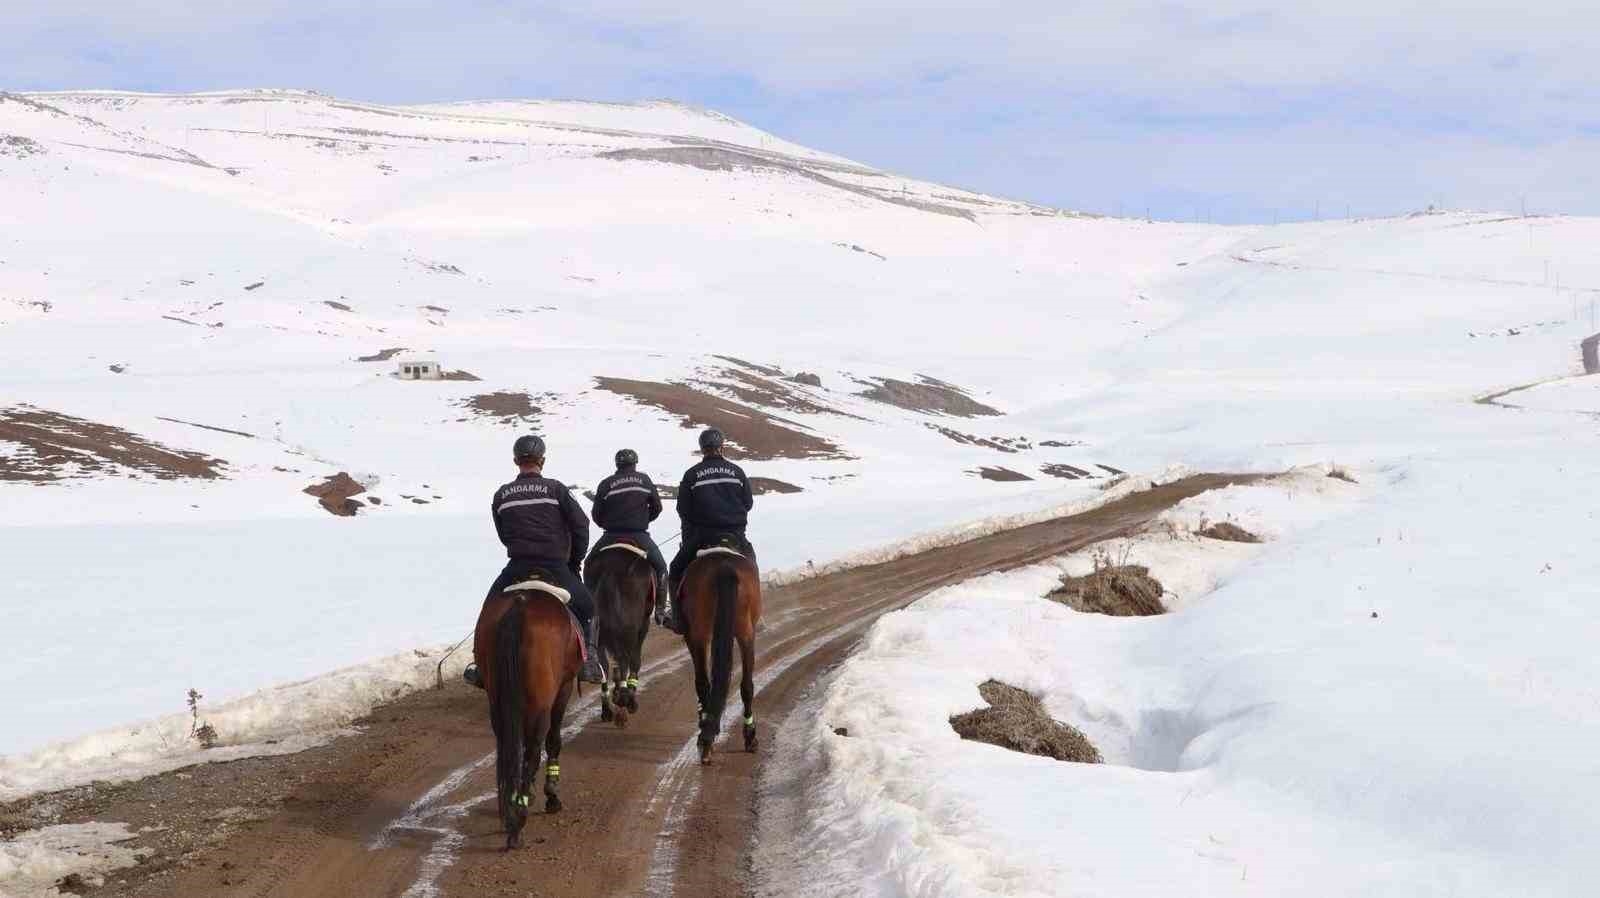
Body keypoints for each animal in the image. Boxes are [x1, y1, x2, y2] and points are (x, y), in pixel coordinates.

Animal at [473, 576, 582, 851]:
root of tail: (520, 605)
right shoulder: (563, 688)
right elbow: (553, 741)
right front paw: (550, 796)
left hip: (498, 699)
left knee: (508, 746)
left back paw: (510, 811)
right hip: (542, 701)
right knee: (534, 748)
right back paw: (519, 819)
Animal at [588, 544, 656, 723]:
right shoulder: (642, 626)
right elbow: (634, 660)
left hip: (600, 632)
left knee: (604, 665)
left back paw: (607, 710)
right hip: (632, 628)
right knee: (627, 658)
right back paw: (626, 700)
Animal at [681, 544, 761, 758]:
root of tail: (723, 567)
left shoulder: (692, 637)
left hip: (699, 634)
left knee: (703, 683)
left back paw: (706, 738)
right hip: (745, 632)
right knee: (746, 686)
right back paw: (749, 736)